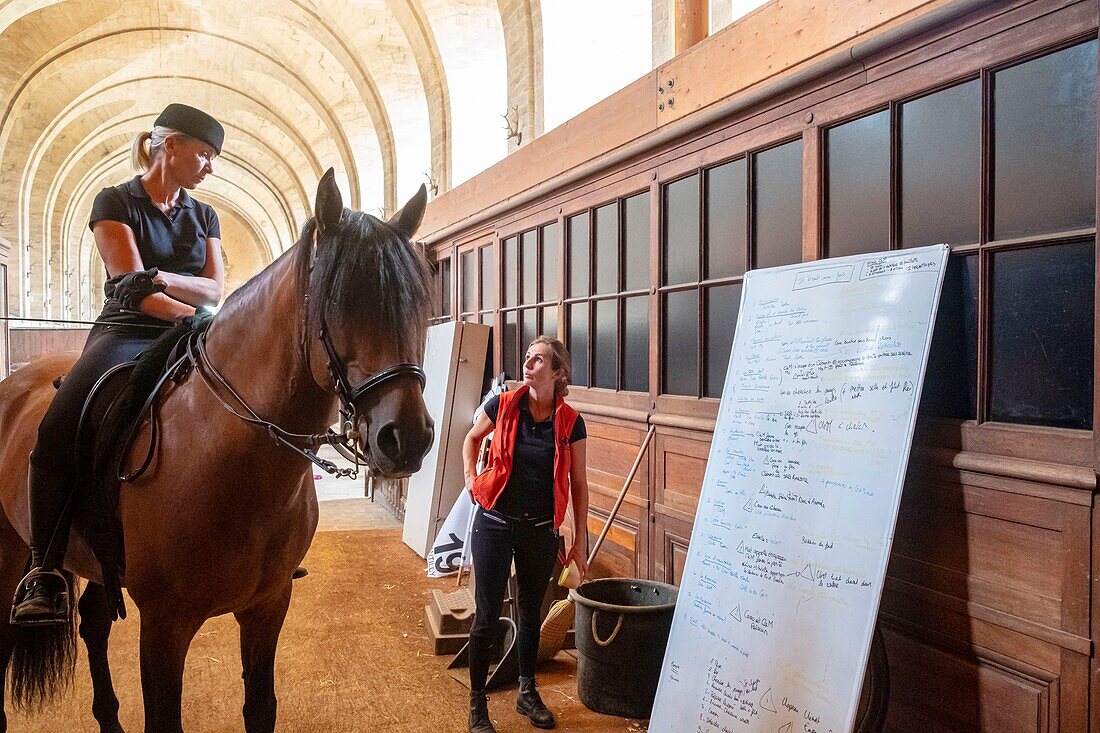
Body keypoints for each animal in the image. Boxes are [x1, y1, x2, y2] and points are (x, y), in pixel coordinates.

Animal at [0, 168, 433, 726]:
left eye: (417, 303)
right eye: (341, 301)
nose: (408, 438)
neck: (229, 458)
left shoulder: (267, 606)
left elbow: (260, 707)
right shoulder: (164, 626)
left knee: (93, 624)